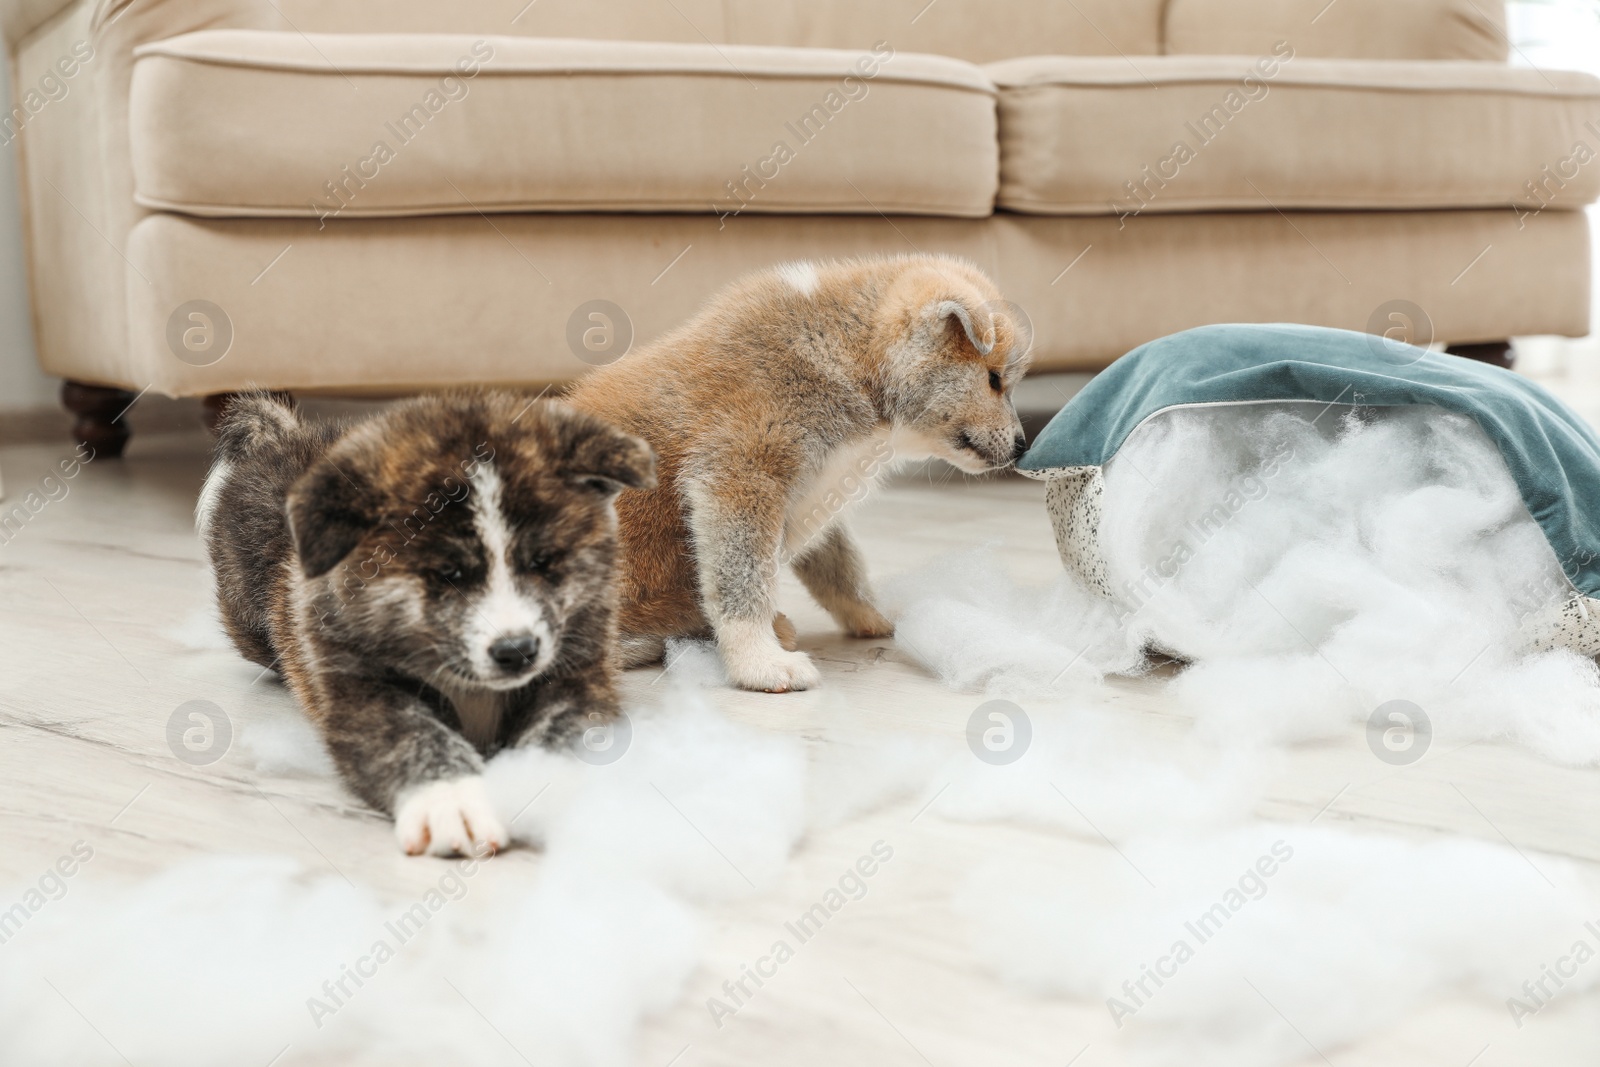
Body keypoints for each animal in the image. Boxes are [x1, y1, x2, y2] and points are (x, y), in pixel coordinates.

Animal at [198, 391, 649, 857]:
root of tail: (283, 438)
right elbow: (412, 736)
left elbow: (565, 727)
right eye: (447, 573)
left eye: (544, 561)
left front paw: (547, 787)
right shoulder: (361, 685)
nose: (517, 651)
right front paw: (450, 802)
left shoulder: (576, 670)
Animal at [569, 255, 1030, 697]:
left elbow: (843, 569)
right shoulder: (740, 475)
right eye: (994, 380)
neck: (849, 356)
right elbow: (742, 585)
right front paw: (758, 660)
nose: (1023, 446)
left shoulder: (823, 491)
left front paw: (875, 616)